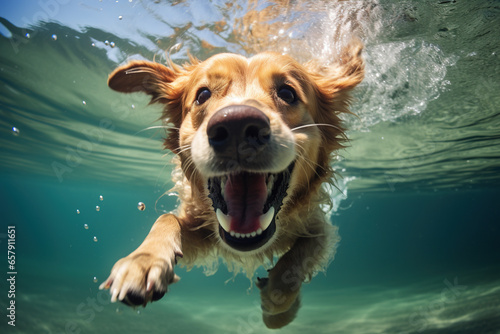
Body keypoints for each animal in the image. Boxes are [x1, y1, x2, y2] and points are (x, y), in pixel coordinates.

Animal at [98, 41, 364, 326]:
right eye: (202, 95)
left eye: (287, 93)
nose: (237, 125)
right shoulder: (200, 228)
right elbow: (166, 219)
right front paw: (143, 261)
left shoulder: (319, 226)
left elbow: (300, 257)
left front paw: (277, 300)